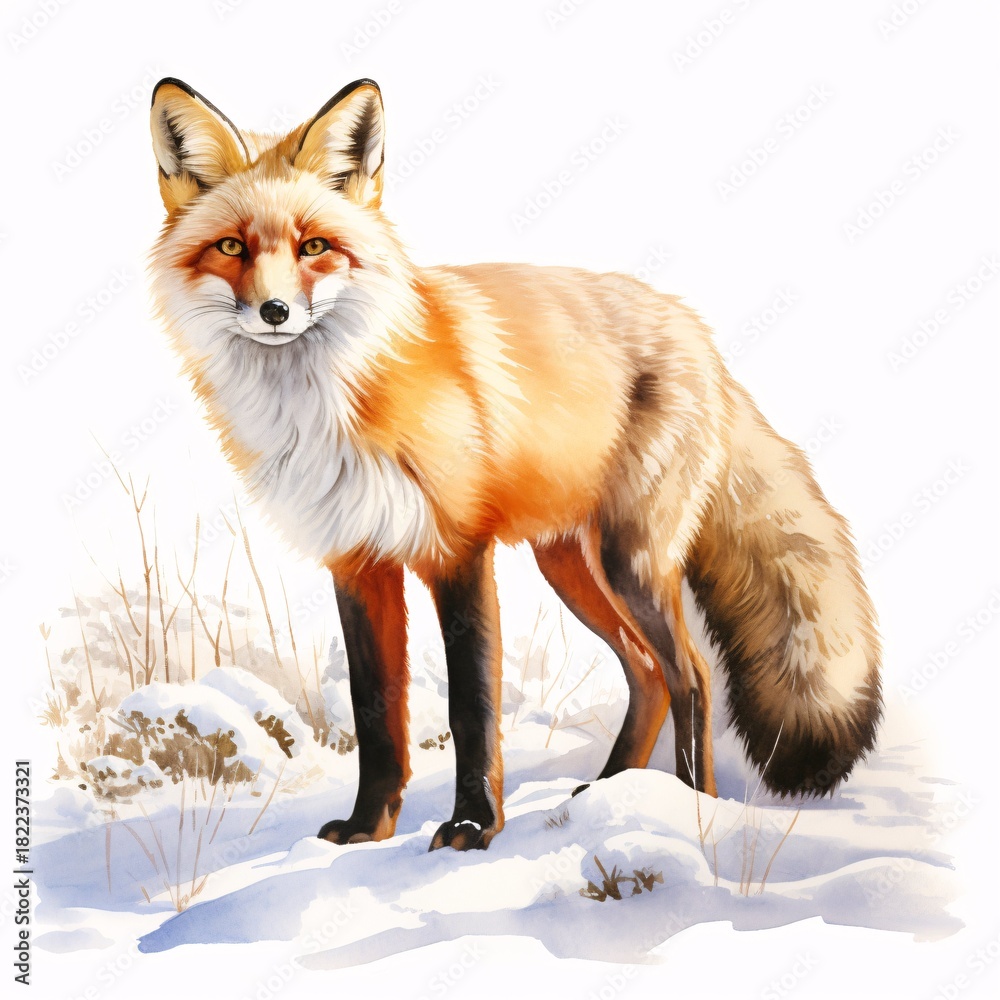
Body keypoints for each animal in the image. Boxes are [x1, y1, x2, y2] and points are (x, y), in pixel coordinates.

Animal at [148, 77, 881, 852]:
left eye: (314, 246)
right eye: (231, 246)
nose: (275, 311)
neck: (329, 406)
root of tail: (698, 334)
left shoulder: (457, 549)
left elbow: (472, 706)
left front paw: (473, 825)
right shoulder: (358, 559)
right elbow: (377, 713)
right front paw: (369, 829)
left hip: (630, 562)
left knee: (693, 674)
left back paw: (690, 803)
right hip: (569, 565)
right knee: (648, 673)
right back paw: (612, 788)